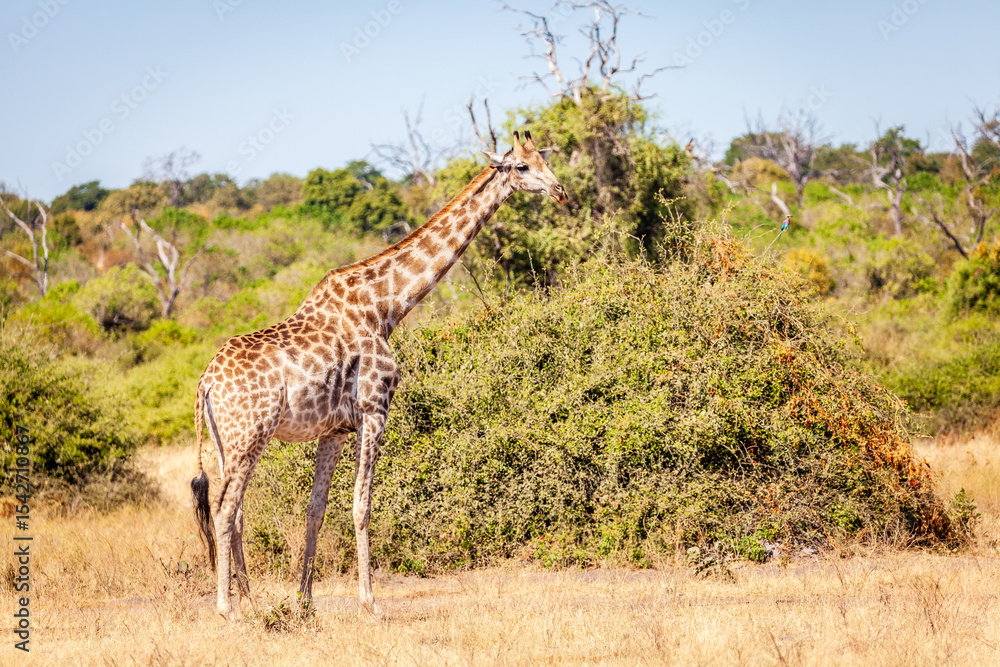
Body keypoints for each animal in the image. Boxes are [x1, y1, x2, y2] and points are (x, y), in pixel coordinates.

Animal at [190, 131, 568, 618]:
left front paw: (304, 601)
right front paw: (371, 602)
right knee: (224, 508)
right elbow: (362, 506)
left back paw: (252, 599)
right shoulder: (374, 410)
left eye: (543, 159)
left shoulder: (334, 430)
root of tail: (206, 383)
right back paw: (227, 607)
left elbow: (316, 511)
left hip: (228, 443)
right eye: (521, 167)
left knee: (235, 510)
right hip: (250, 435)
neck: (385, 306)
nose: (559, 191)